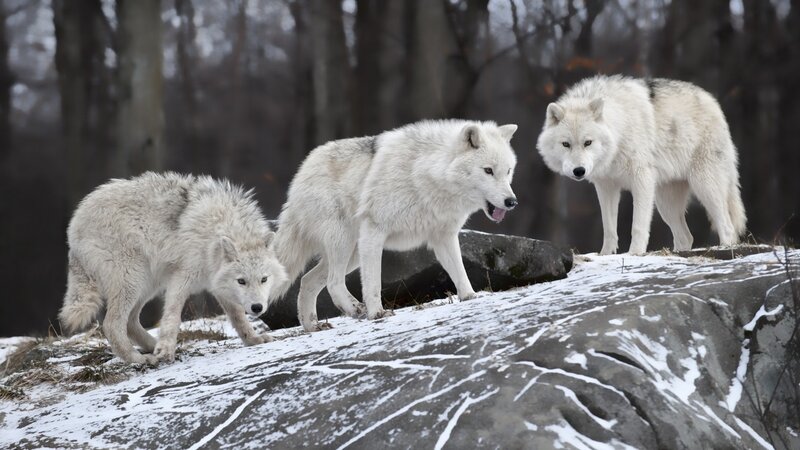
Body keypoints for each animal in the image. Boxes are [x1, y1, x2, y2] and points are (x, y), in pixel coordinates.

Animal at [59, 172, 288, 364]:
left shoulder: (217, 283)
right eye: (242, 281)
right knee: (112, 325)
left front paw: (253, 340)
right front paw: (165, 350)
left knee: (130, 322)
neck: (215, 231)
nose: (257, 308)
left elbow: (238, 318)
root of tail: (73, 225)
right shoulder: (181, 277)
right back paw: (139, 359)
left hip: (148, 284)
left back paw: (153, 347)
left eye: (264, 279)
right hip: (133, 280)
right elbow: (172, 317)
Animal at [273, 120, 519, 332]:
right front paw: (377, 313)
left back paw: (312, 326)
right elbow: (373, 282)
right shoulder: (374, 231)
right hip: (345, 242)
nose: (512, 202)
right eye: (488, 170)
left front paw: (470, 297)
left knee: (308, 280)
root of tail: (301, 172)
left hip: (353, 252)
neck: (426, 174)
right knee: (333, 282)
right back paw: (355, 310)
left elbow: (459, 271)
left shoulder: (444, 237)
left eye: (508, 171)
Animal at [537, 75, 746, 255]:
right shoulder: (606, 187)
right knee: (686, 237)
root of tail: (712, 101)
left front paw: (635, 253)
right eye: (566, 144)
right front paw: (605, 255)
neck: (620, 129)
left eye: (588, 142)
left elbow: (638, 226)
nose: (579, 171)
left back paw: (726, 248)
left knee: (727, 226)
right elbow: (609, 228)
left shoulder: (641, 180)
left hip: (704, 186)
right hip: (665, 203)